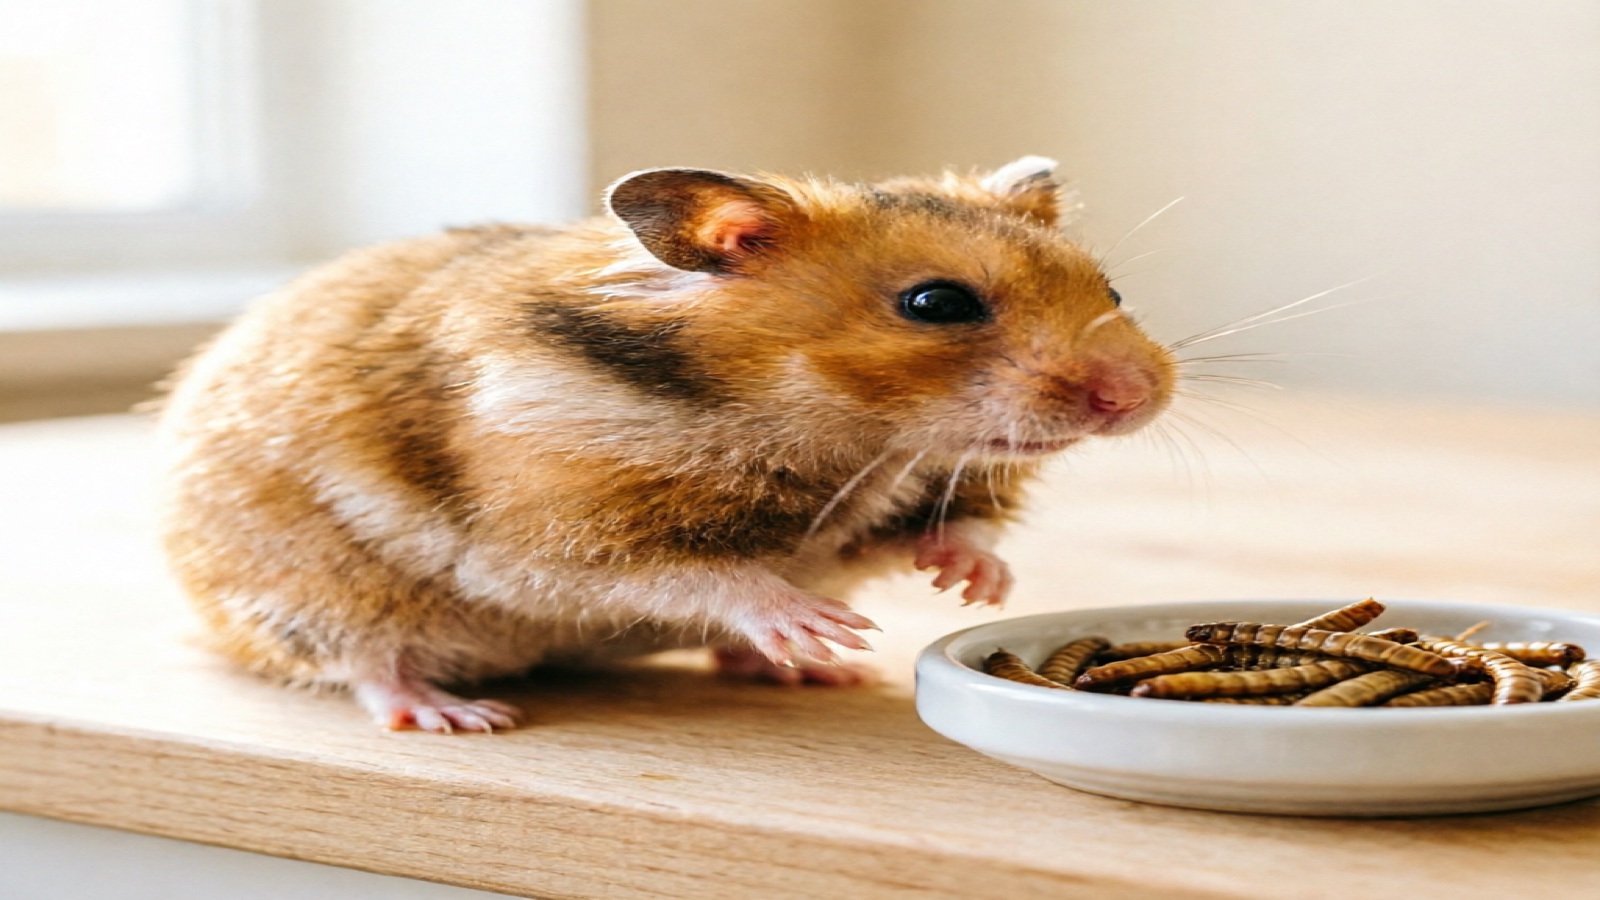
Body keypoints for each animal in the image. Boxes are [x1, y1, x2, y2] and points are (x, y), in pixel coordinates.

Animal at [157, 156, 1175, 732]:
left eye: (1113, 291)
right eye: (937, 303)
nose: (1136, 398)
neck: (858, 439)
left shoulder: (934, 480)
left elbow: (966, 522)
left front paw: (967, 584)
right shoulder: (554, 529)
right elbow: (692, 573)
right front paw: (819, 620)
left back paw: (818, 675)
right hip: (316, 594)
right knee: (365, 665)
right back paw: (459, 715)